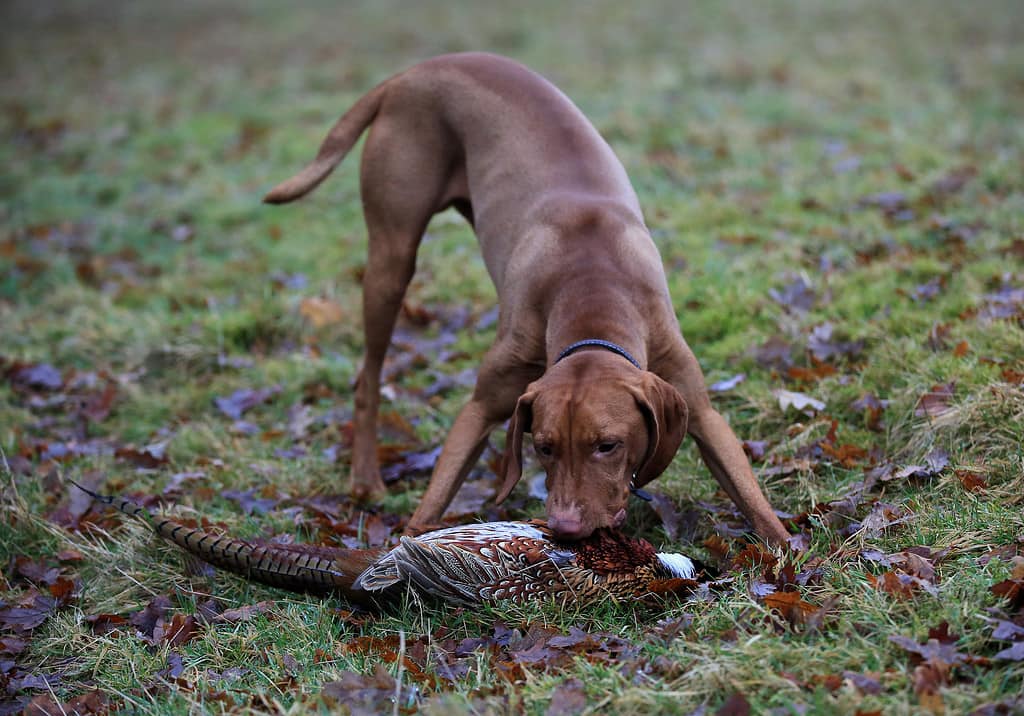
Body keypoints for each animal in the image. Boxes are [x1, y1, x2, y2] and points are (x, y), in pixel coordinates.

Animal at [266, 51, 790, 544]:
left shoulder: (698, 408)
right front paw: (404, 547)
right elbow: (436, 493)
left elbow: (754, 501)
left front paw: (788, 550)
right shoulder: (481, 406)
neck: (593, 291)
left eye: (608, 445)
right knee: (368, 377)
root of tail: (415, 71)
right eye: (544, 446)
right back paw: (365, 480)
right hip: (392, 260)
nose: (565, 527)